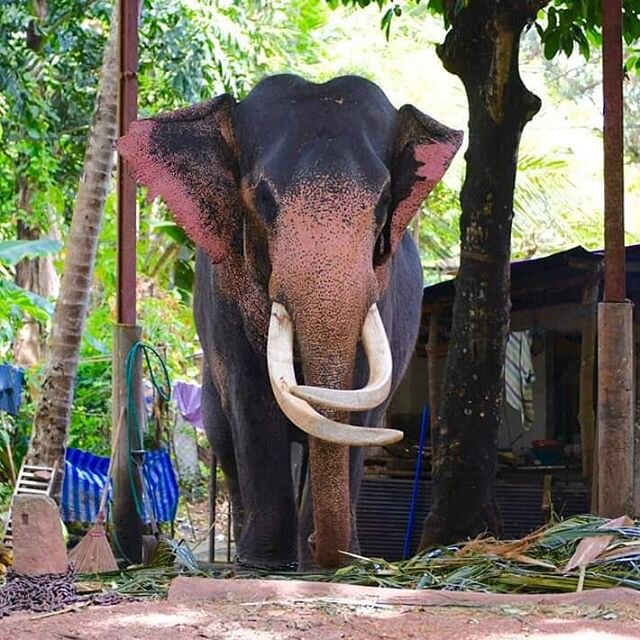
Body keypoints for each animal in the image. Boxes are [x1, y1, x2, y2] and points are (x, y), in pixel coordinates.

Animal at [117, 75, 462, 568]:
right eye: (262, 197)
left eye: (382, 201)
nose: (322, 546)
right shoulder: (223, 294)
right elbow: (252, 396)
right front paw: (263, 564)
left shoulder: (385, 288)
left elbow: (356, 397)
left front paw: (335, 562)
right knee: (225, 437)